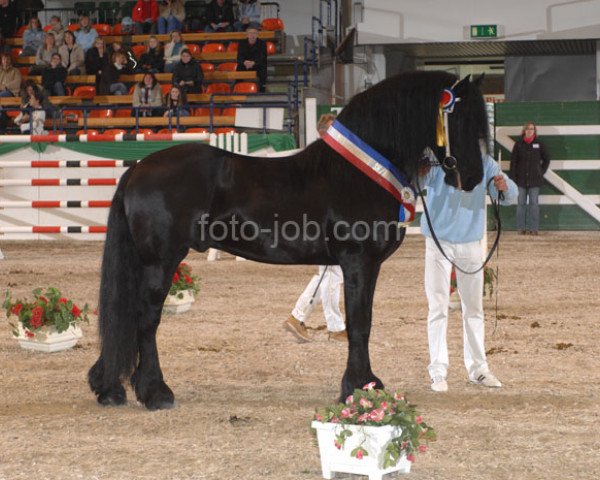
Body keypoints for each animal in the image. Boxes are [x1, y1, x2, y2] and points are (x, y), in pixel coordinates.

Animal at [90, 70, 492, 408]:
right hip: (161, 262)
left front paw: (366, 383)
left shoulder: (363, 266)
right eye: (459, 118)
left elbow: (362, 320)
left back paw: (110, 387)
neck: (359, 171)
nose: (472, 177)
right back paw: (155, 392)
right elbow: (360, 323)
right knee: (146, 319)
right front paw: (358, 386)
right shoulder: (358, 261)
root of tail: (138, 168)